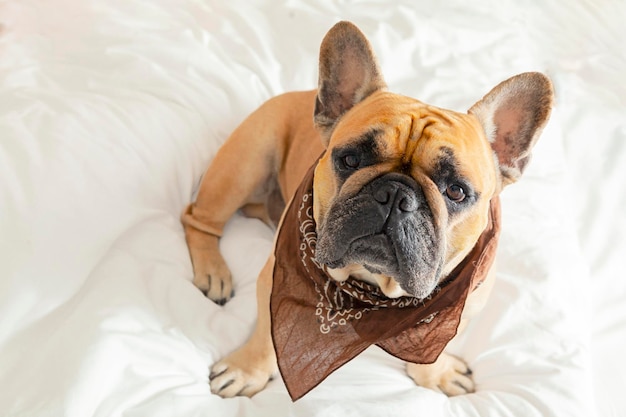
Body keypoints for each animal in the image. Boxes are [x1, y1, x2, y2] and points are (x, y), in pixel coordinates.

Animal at [182, 21, 552, 398]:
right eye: (350, 160)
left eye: (456, 191)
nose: (395, 194)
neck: (376, 289)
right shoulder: (271, 282)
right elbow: (266, 337)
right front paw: (247, 370)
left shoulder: (461, 313)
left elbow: (436, 349)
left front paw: (436, 375)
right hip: (246, 162)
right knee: (199, 220)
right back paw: (214, 272)